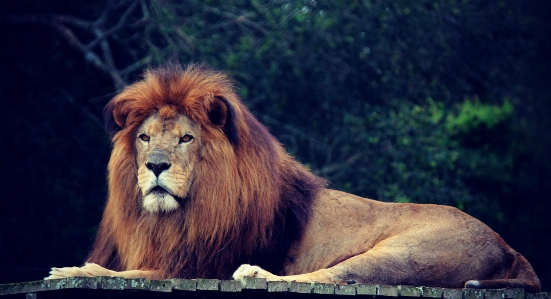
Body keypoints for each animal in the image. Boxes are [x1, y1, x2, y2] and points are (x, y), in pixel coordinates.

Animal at [45, 63, 540, 292]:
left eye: (186, 138)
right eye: (145, 138)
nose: (156, 166)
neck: (174, 217)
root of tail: (508, 246)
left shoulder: (198, 264)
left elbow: (121, 270)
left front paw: (68, 268)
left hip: (404, 253)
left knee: (331, 278)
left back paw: (253, 272)